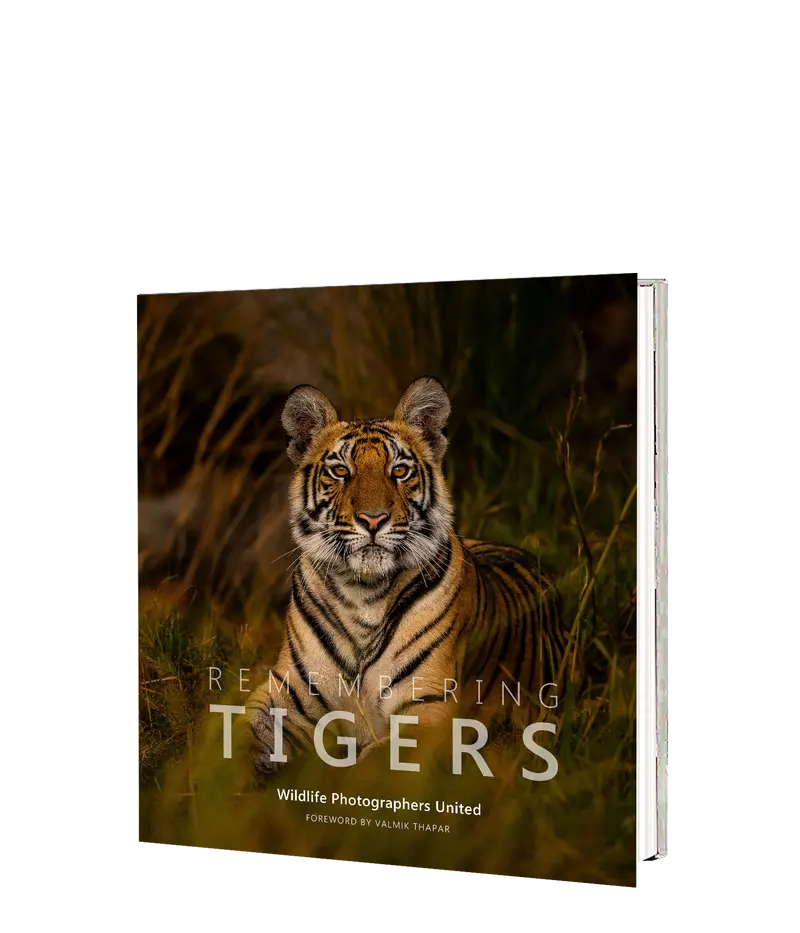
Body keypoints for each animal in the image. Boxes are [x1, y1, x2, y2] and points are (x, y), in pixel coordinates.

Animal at [246, 377, 563, 781]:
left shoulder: (428, 712)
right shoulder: (287, 695)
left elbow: (369, 767)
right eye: (340, 471)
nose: (373, 519)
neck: (361, 594)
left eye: (399, 471)